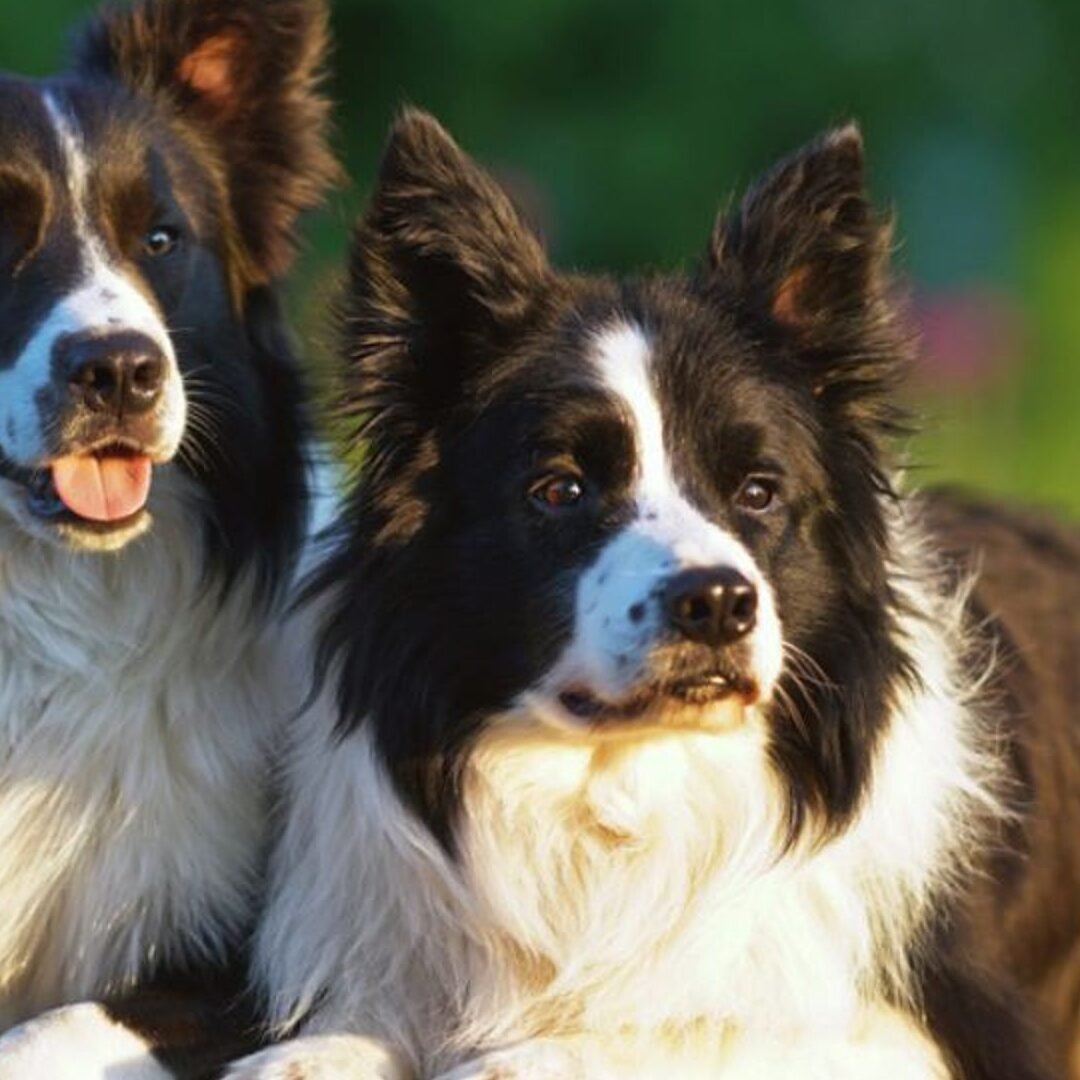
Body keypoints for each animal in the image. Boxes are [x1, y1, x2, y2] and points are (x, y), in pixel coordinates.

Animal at [230, 109, 1080, 1080]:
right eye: (560, 489)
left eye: (759, 491)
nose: (716, 603)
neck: (624, 786)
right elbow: (336, 1037)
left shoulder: (931, 1029)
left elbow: (672, 1024)